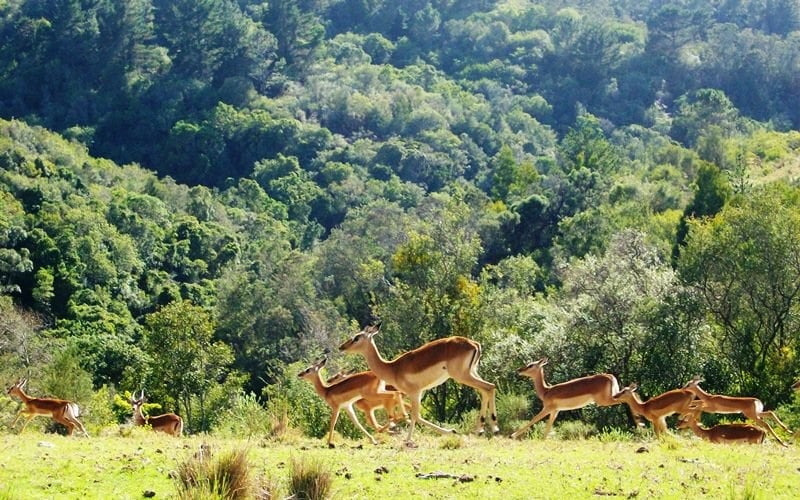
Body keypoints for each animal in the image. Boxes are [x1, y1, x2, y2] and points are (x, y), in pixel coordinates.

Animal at [339, 325, 498, 443]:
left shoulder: (414, 392)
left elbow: (415, 416)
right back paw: (482, 429)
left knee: (489, 387)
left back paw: (493, 428)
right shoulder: (419, 393)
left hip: (462, 376)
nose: (341, 347)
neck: (392, 368)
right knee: (487, 389)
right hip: (472, 373)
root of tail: (474, 344)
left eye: (356, 337)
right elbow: (414, 415)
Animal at [510, 358, 642, 439]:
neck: (546, 390)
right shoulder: (555, 411)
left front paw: (512, 435)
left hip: (605, 401)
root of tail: (609, 376)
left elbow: (533, 419)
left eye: (531, 365)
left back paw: (640, 424)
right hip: (611, 396)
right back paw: (640, 425)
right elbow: (548, 426)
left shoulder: (547, 409)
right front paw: (543, 440)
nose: (519, 370)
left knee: (626, 399)